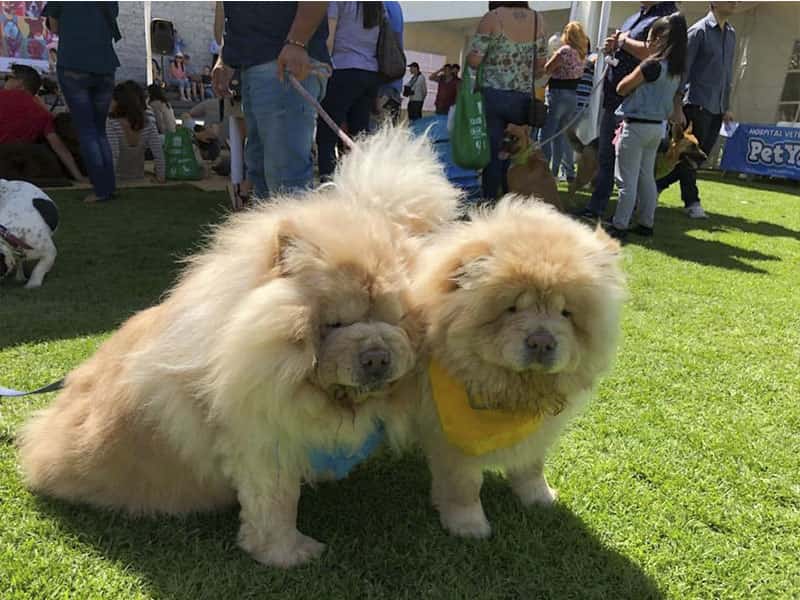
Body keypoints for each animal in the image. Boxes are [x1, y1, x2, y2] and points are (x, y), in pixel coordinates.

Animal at [15, 126, 460, 568]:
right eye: (334, 323)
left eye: (395, 318)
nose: (377, 357)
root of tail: (38, 441)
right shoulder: (263, 446)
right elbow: (275, 507)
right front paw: (289, 554)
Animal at [410, 198, 628, 540]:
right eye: (511, 308)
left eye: (565, 313)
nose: (542, 341)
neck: (514, 392)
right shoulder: (448, 439)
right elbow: (464, 485)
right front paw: (468, 526)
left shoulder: (538, 432)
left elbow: (531, 466)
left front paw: (539, 497)